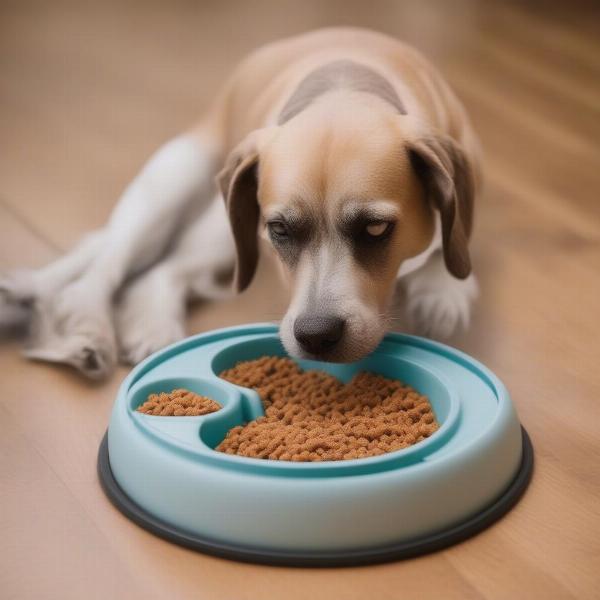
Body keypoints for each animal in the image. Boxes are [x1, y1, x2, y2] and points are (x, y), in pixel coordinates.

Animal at [0, 27, 478, 380]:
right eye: (279, 230)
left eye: (376, 228)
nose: (316, 335)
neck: (345, 89)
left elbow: (452, 243)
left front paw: (442, 288)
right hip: (179, 187)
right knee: (109, 272)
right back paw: (91, 332)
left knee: (156, 270)